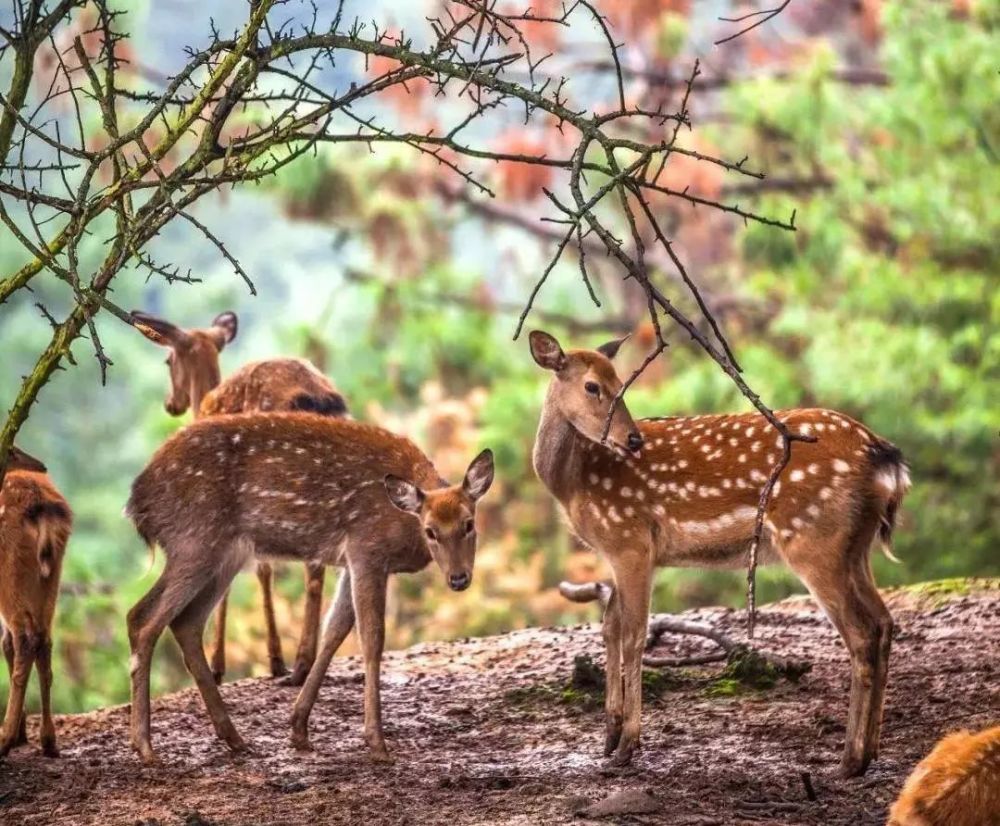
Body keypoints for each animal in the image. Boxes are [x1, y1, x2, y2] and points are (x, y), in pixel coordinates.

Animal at [125, 408, 496, 764]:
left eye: (469, 524)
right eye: (431, 531)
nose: (459, 578)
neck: (403, 522)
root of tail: (136, 504)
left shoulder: (351, 561)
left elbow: (335, 631)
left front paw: (298, 729)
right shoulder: (367, 548)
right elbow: (372, 638)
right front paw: (377, 743)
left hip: (225, 554)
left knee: (185, 622)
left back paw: (234, 739)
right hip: (194, 540)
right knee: (143, 618)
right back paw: (145, 746)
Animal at [132, 308, 352, 684]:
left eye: (167, 360)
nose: (171, 404)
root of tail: (317, 397)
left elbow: (255, 573)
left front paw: (227, 664)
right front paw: (272, 660)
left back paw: (300, 665)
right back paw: (305, 664)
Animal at [528, 328, 912, 772]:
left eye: (621, 383)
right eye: (592, 386)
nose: (632, 439)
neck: (572, 483)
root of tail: (884, 459)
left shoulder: (631, 540)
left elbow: (634, 636)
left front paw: (628, 746)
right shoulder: (616, 550)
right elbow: (609, 628)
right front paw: (608, 738)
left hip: (814, 539)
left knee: (861, 634)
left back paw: (850, 760)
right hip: (856, 547)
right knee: (884, 623)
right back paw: (871, 751)